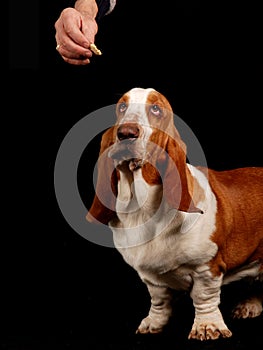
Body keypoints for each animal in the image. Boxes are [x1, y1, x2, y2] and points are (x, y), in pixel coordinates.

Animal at [87, 87, 263, 340]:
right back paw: (250, 305)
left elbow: (203, 297)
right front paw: (154, 323)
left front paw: (207, 327)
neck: (142, 207)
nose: (126, 132)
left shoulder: (207, 268)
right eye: (122, 107)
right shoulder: (151, 278)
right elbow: (159, 300)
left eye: (156, 109)